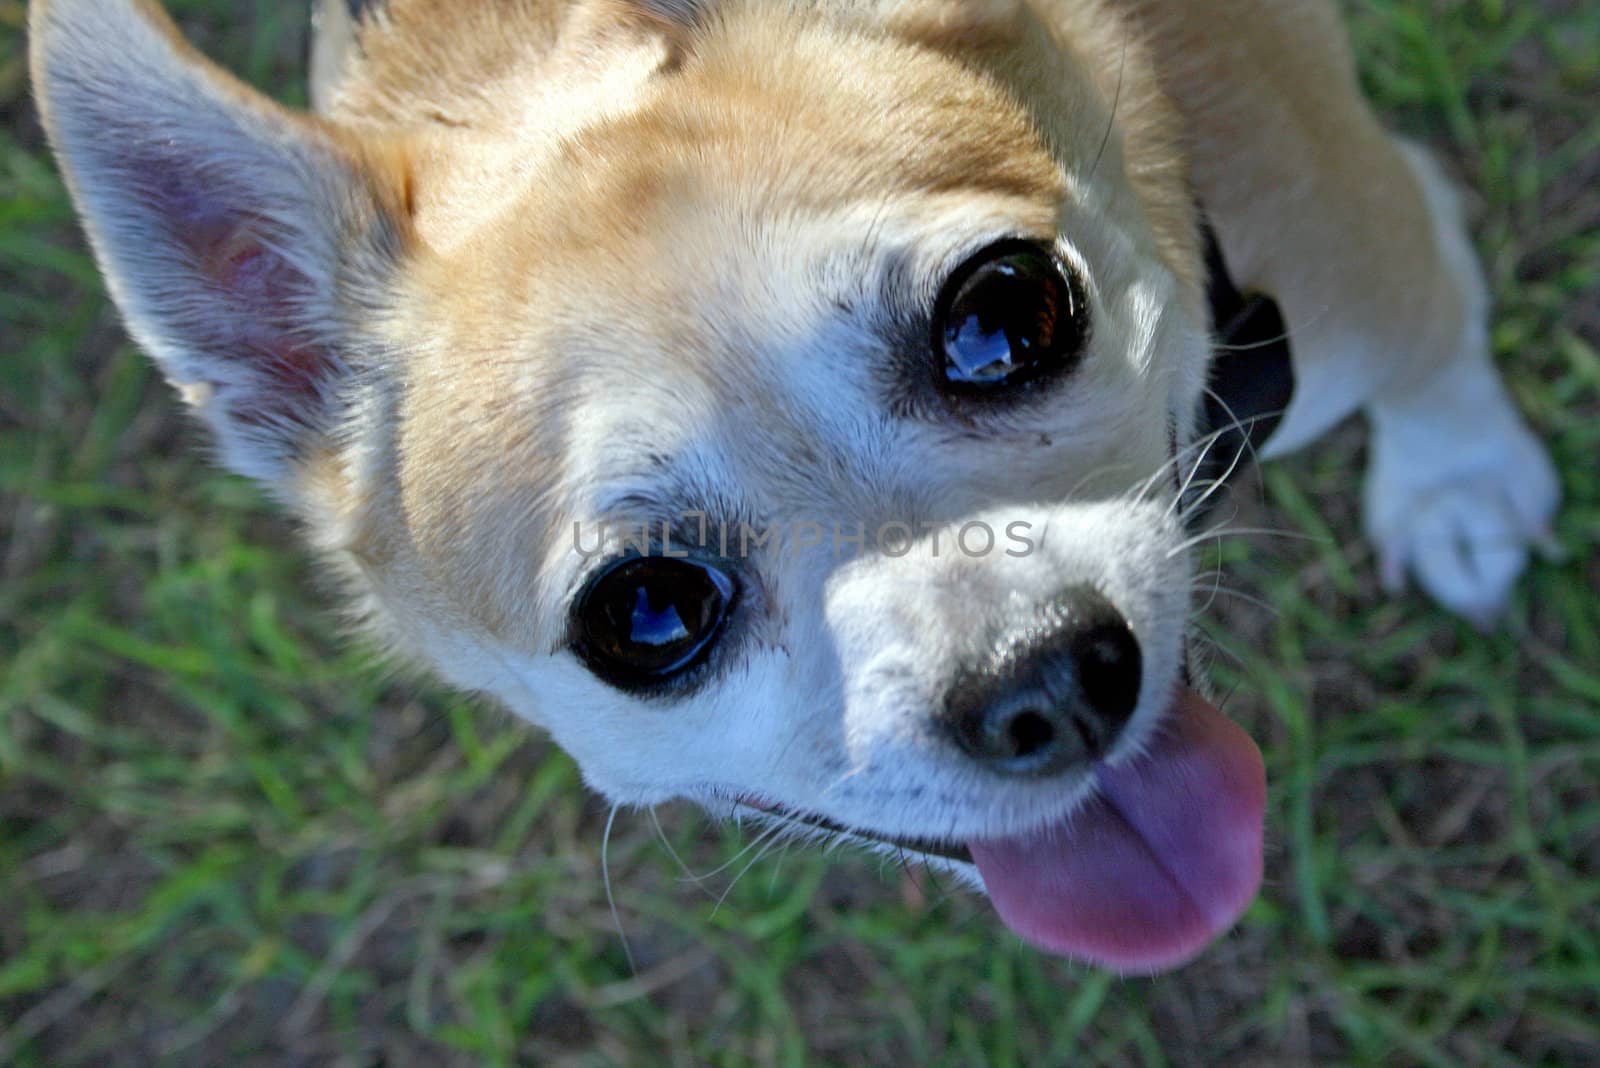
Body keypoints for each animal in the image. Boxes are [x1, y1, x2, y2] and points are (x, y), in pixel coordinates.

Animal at [28, 0, 1548, 972]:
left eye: (1005, 317)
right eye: (647, 614)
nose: (1041, 679)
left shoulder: (1371, 251)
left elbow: (1435, 351)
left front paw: (1457, 485)